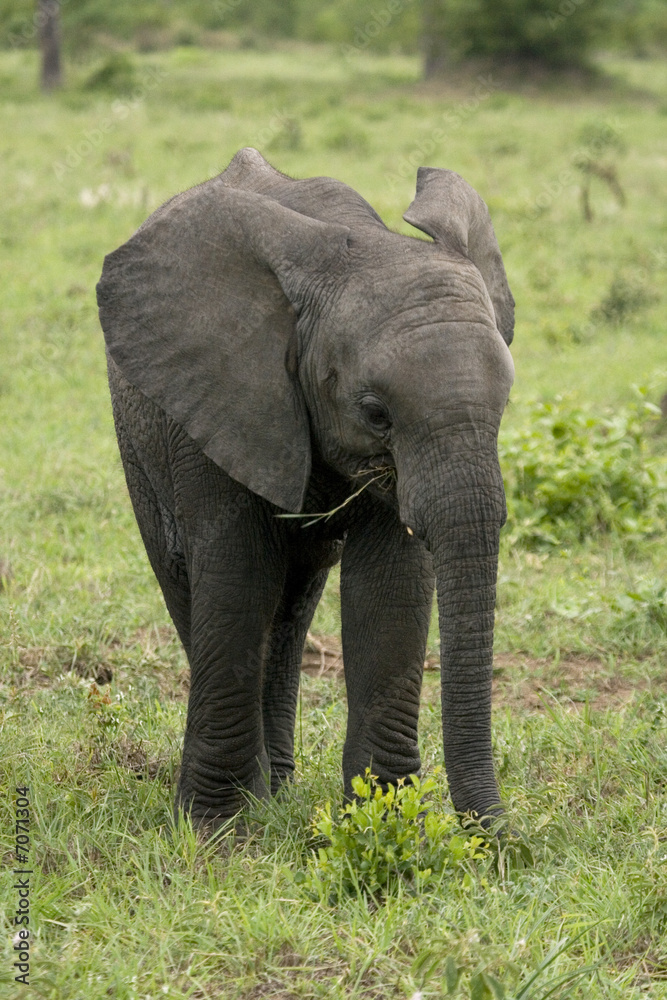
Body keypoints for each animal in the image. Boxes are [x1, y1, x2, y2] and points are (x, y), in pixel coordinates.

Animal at [96, 147, 515, 829]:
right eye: (376, 413)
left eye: (505, 402)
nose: (503, 838)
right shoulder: (220, 397)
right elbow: (237, 574)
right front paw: (218, 830)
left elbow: (390, 587)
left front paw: (383, 820)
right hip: (140, 437)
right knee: (196, 583)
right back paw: (261, 794)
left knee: (292, 604)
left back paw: (280, 788)